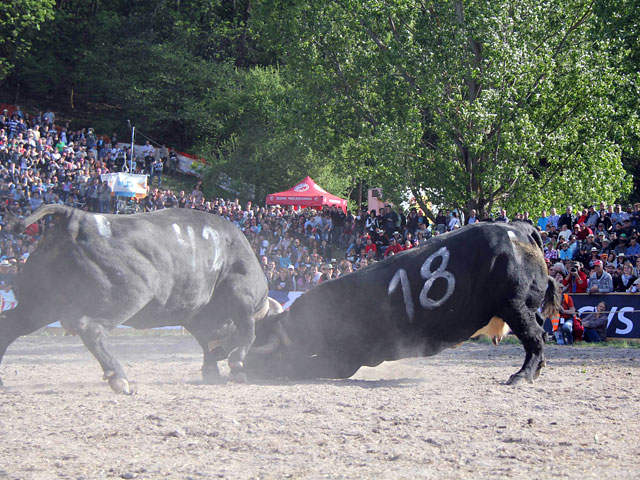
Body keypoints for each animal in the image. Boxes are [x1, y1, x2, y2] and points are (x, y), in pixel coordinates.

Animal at [0, 204, 280, 392]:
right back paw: (119, 377)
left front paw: (212, 372)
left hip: (41, 304)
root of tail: (76, 218)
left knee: (9, 325)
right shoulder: (240, 296)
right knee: (90, 327)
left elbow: (206, 346)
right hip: (130, 294)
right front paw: (237, 364)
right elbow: (247, 332)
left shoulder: (199, 319)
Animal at [246, 223, 560, 384]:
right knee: (539, 332)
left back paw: (522, 375)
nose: (245, 366)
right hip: (523, 308)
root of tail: (519, 229)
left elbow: (308, 366)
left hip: (514, 306)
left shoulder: (345, 358)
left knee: (534, 338)